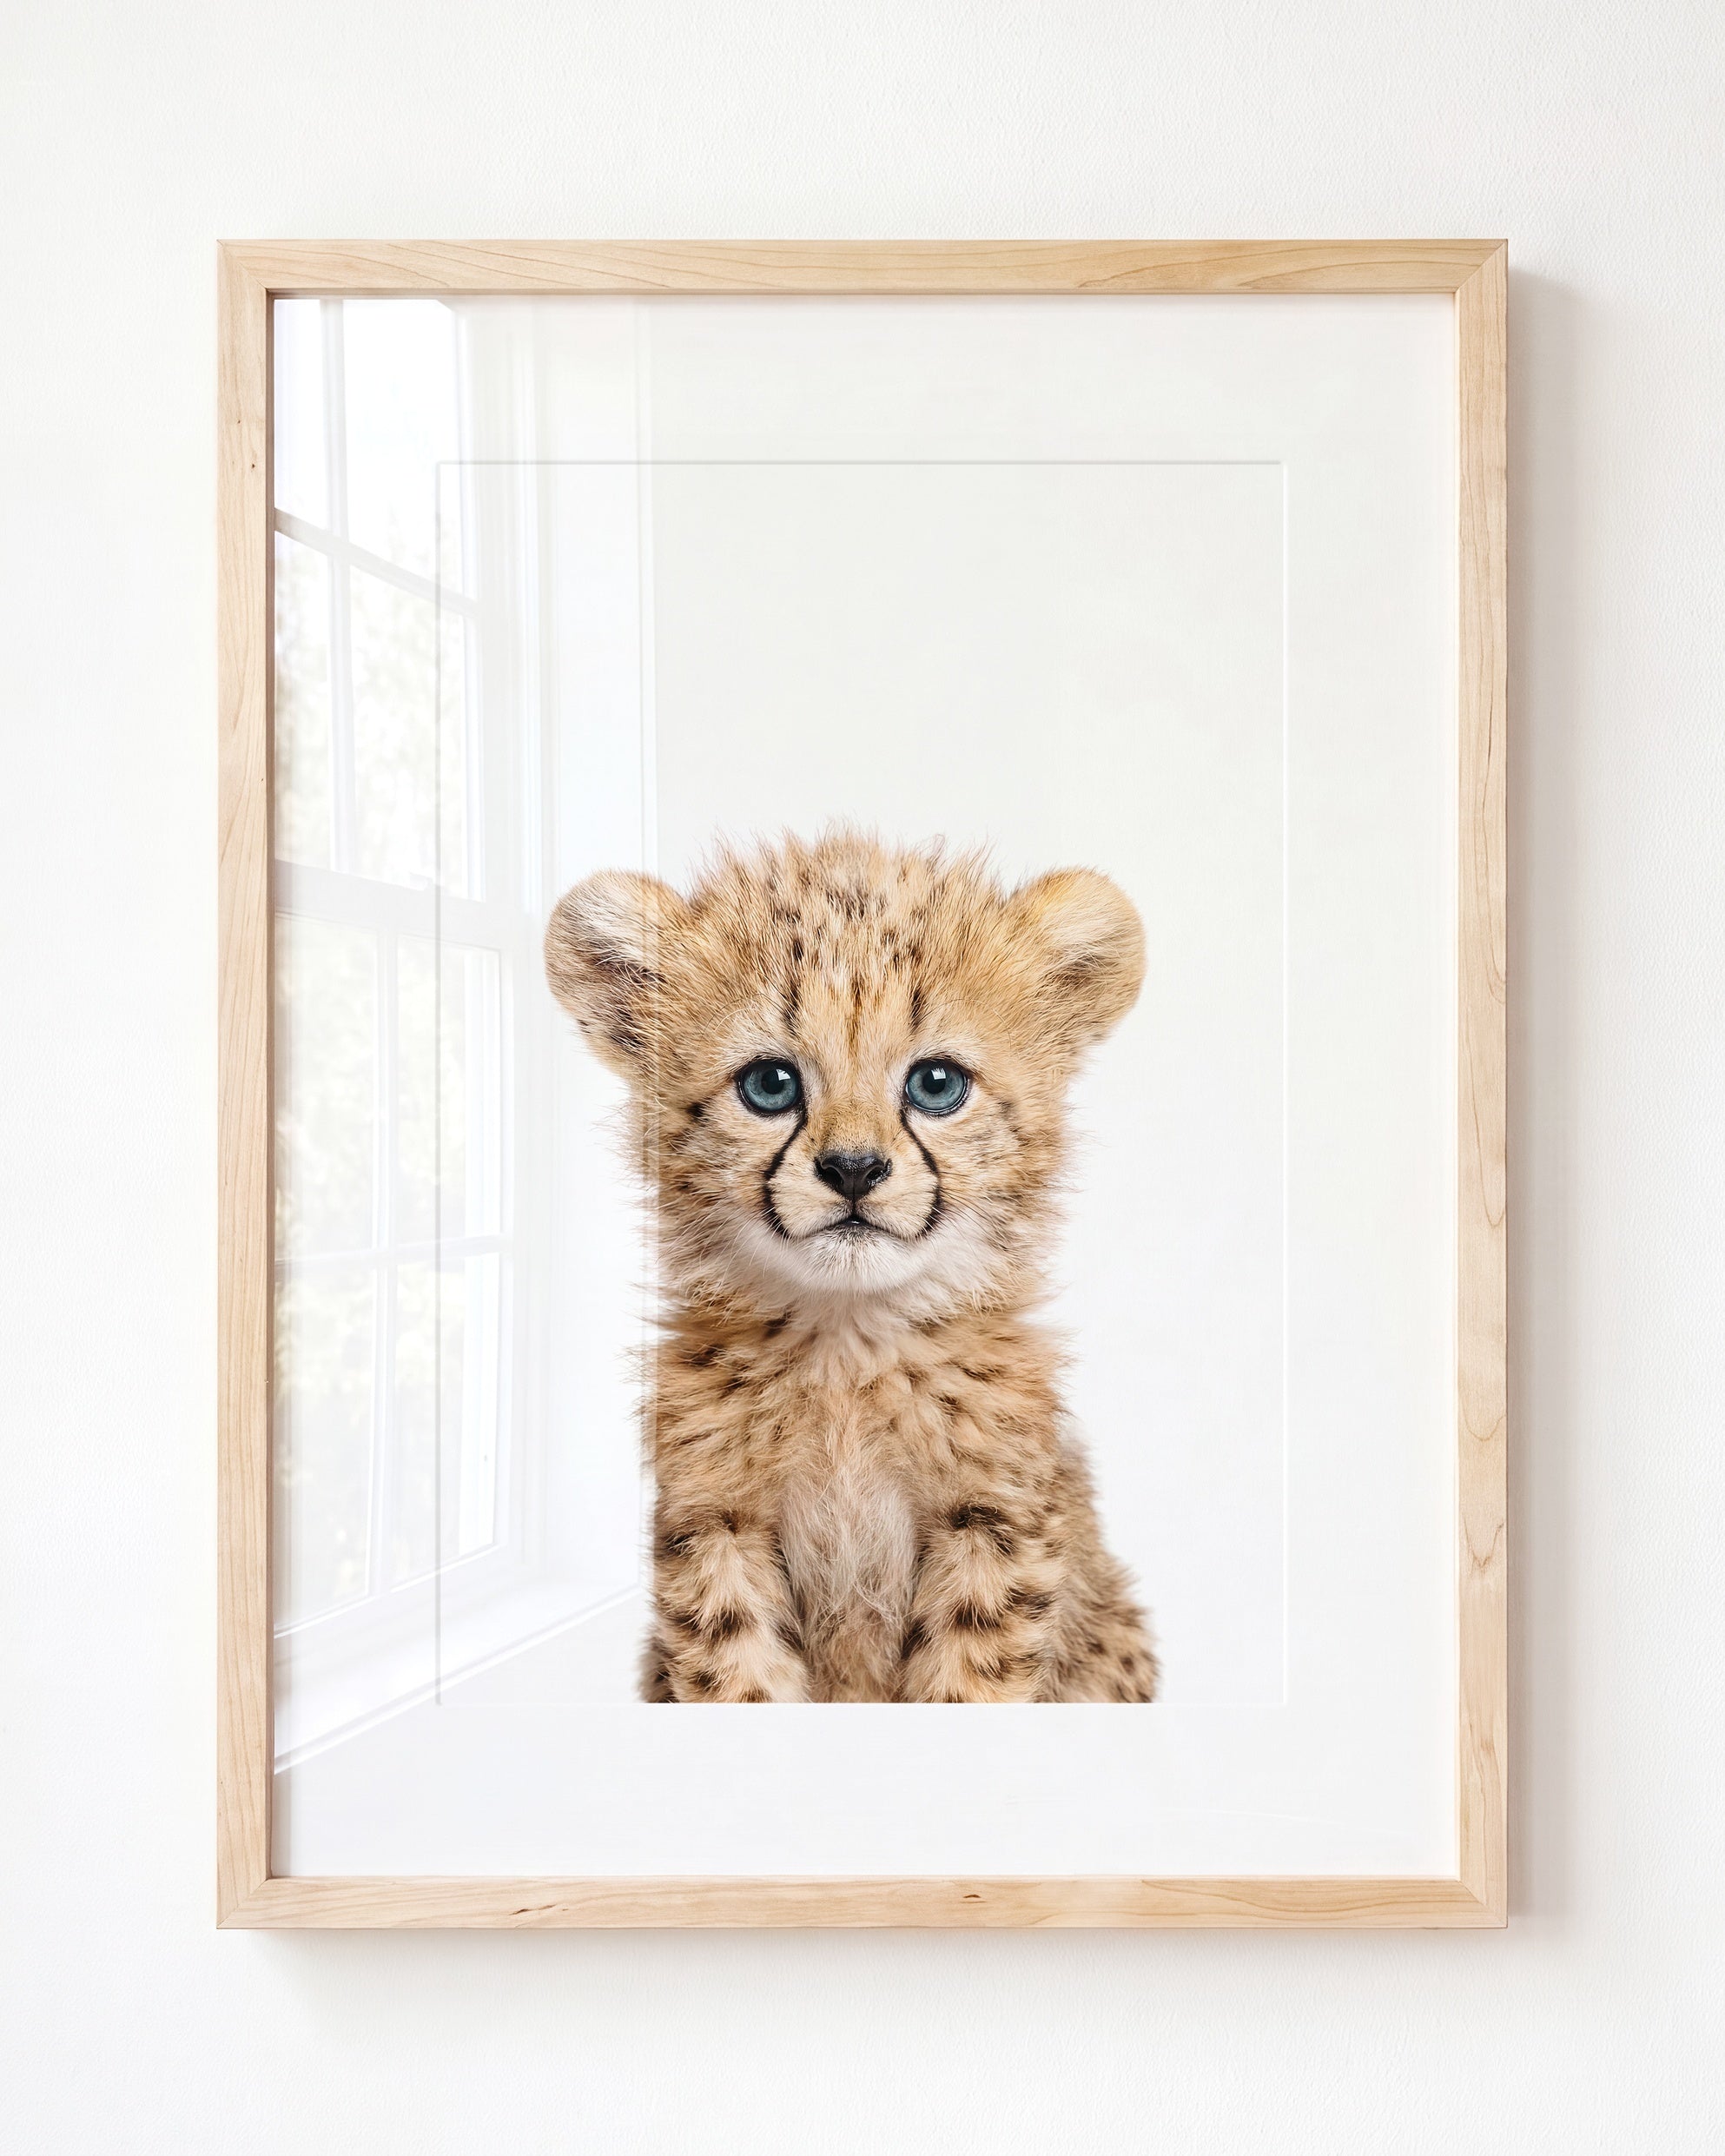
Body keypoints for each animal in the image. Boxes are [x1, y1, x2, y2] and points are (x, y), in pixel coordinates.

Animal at [544, 828, 1159, 1703]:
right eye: (770, 1085)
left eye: (937, 1083)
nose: (855, 1169)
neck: (848, 1344)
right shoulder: (716, 1525)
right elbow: (739, 1676)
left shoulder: (993, 1524)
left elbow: (969, 1681)